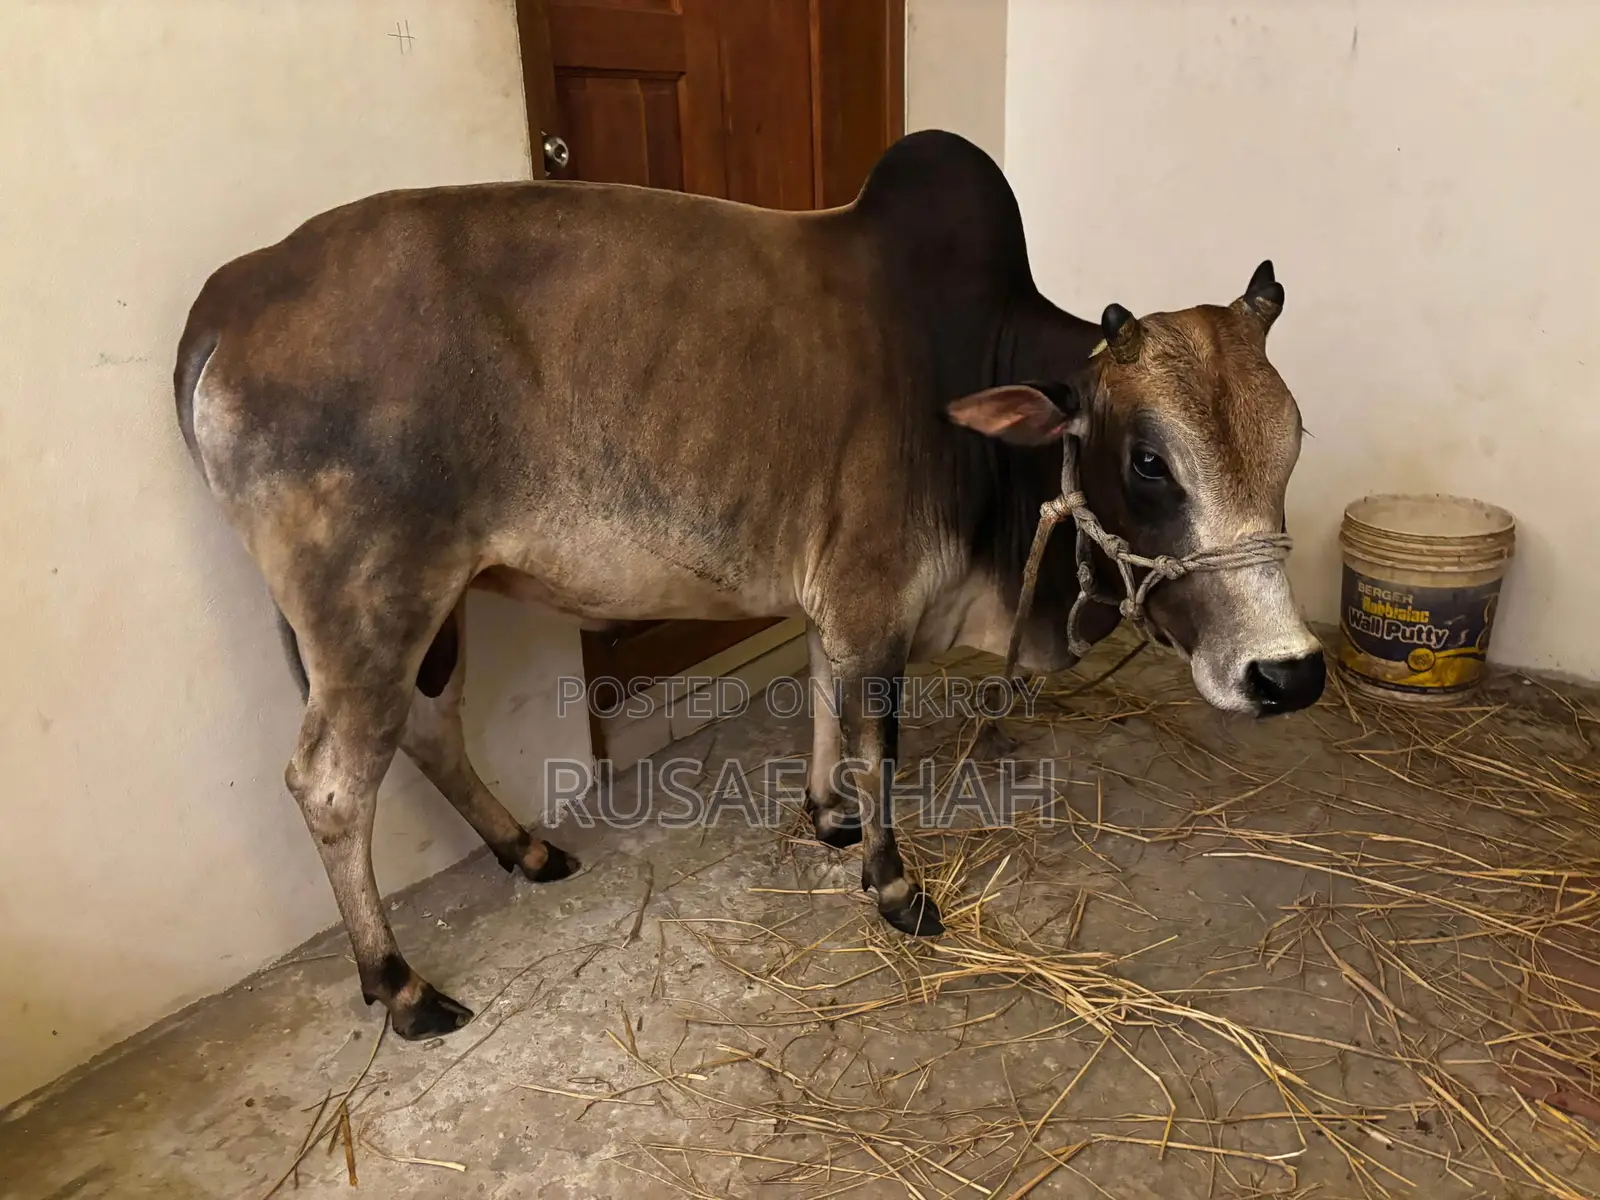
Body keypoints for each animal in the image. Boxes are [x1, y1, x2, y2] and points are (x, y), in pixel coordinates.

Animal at [174, 130, 1324, 1039]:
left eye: (1294, 442)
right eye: (1148, 461)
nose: (1289, 674)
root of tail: (231, 294)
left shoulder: (839, 602)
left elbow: (821, 701)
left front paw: (826, 817)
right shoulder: (873, 601)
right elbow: (877, 741)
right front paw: (892, 884)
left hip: (433, 603)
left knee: (425, 728)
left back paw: (525, 848)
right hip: (370, 605)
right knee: (331, 782)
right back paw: (399, 982)